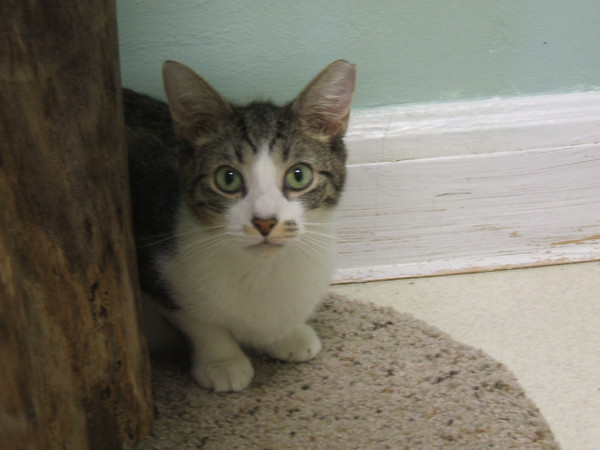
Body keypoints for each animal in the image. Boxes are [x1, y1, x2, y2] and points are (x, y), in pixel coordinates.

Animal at [124, 59, 356, 392]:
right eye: (227, 178)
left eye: (299, 175)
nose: (265, 220)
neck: (264, 272)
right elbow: (197, 321)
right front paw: (222, 361)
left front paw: (288, 335)